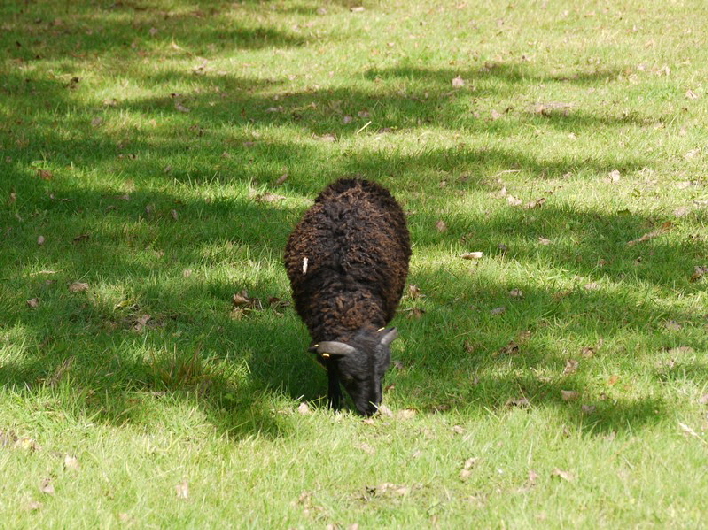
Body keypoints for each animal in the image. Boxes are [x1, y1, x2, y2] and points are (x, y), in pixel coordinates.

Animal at [284, 178, 411, 415]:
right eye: (351, 377)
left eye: (383, 373)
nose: (371, 410)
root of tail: (356, 180)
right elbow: (330, 368)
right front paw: (334, 401)